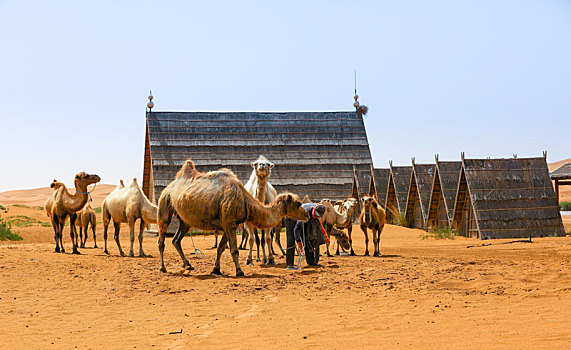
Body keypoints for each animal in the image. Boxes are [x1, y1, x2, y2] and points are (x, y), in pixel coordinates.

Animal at [156, 159, 310, 276]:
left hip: (185, 220)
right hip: (164, 205)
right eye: (298, 203)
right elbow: (234, 250)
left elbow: (220, 248)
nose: (307, 214)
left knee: (176, 240)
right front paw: (240, 271)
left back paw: (188, 265)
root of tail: (170, 186)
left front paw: (216, 270)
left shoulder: (227, 225)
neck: (245, 200)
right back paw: (163, 268)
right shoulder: (230, 224)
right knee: (161, 240)